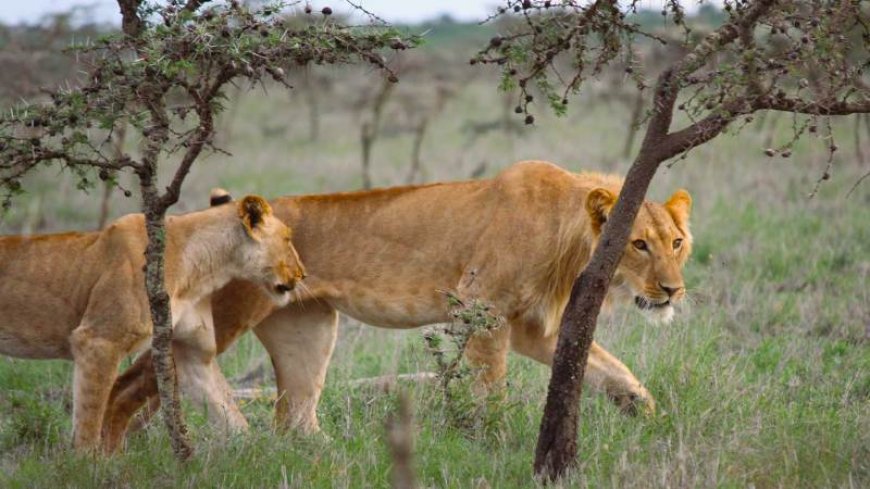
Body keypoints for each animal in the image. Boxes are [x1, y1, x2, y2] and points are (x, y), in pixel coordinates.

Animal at [0, 195, 305, 452]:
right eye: (288, 238)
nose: (303, 274)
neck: (201, 267)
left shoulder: (194, 352)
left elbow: (227, 410)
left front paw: (260, 455)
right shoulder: (97, 341)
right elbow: (88, 420)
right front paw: (88, 470)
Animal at [102, 161, 691, 450]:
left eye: (676, 242)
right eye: (639, 244)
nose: (672, 291)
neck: (569, 233)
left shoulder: (530, 327)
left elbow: (608, 366)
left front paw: (644, 411)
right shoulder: (482, 308)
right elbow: (491, 390)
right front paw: (494, 441)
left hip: (307, 327)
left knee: (293, 415)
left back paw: (321, 453)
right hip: (226, 313)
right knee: (138, 381)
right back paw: (110, 455)